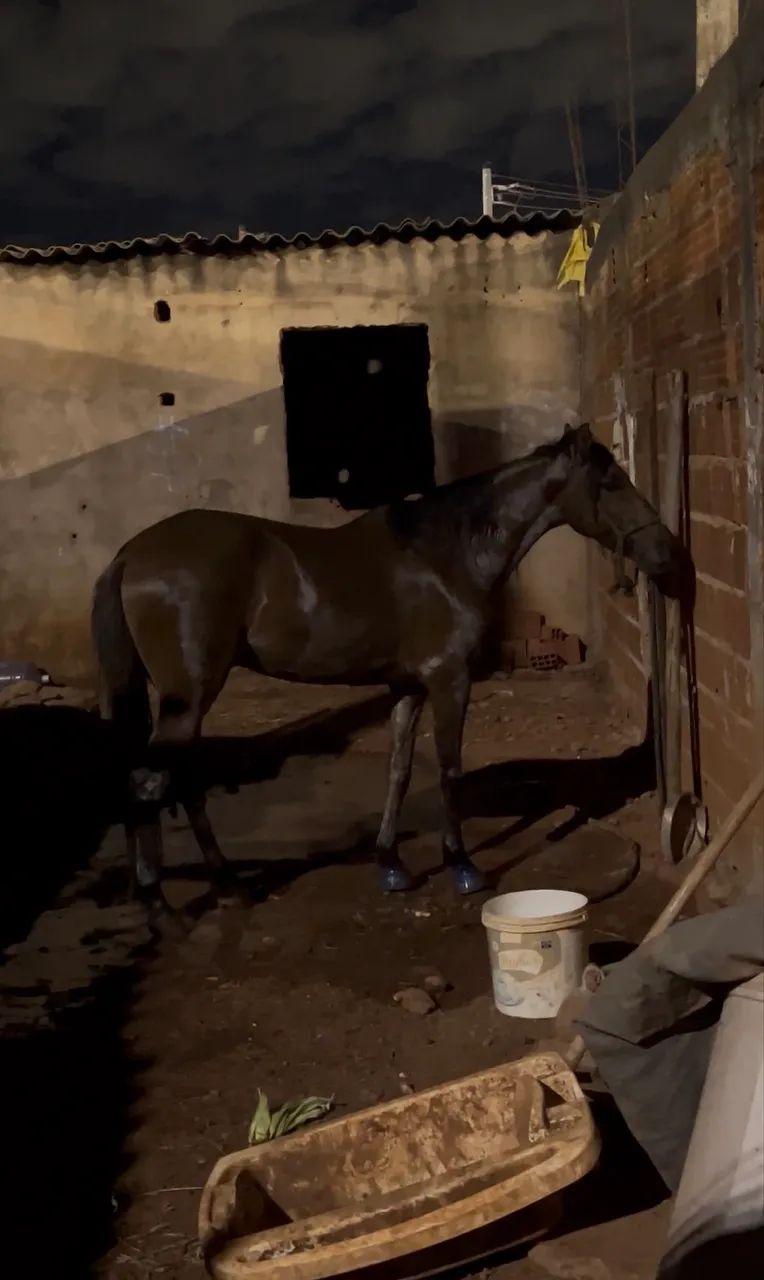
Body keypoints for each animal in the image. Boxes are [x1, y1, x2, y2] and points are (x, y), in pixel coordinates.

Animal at [91, 422, 686, 931]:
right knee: (150, 783)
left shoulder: (408, 687)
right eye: (610, 482)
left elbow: (398, 771)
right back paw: (162, 907)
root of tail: (129, 555)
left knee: (181, 781)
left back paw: (227, 886)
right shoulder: (450, 680)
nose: (667, 553)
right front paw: (462, 866)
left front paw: (392, 865)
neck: (448, 553)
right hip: (189, 695)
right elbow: (448, 770)